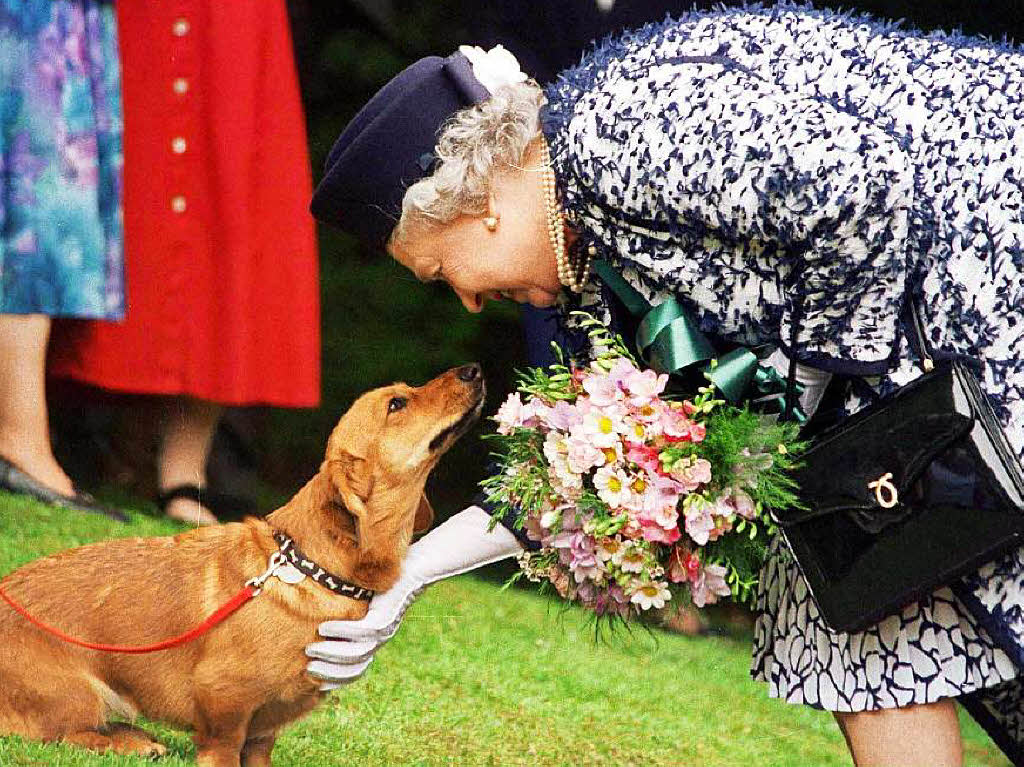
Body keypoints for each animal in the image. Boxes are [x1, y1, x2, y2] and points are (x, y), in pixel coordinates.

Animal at [0, 362, 485, 761]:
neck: (308, 566)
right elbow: (224, 748)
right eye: (397, 403)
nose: (474, 370)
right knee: (68, 733)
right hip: (80, 693)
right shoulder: (224, 702)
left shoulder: (264, 731)